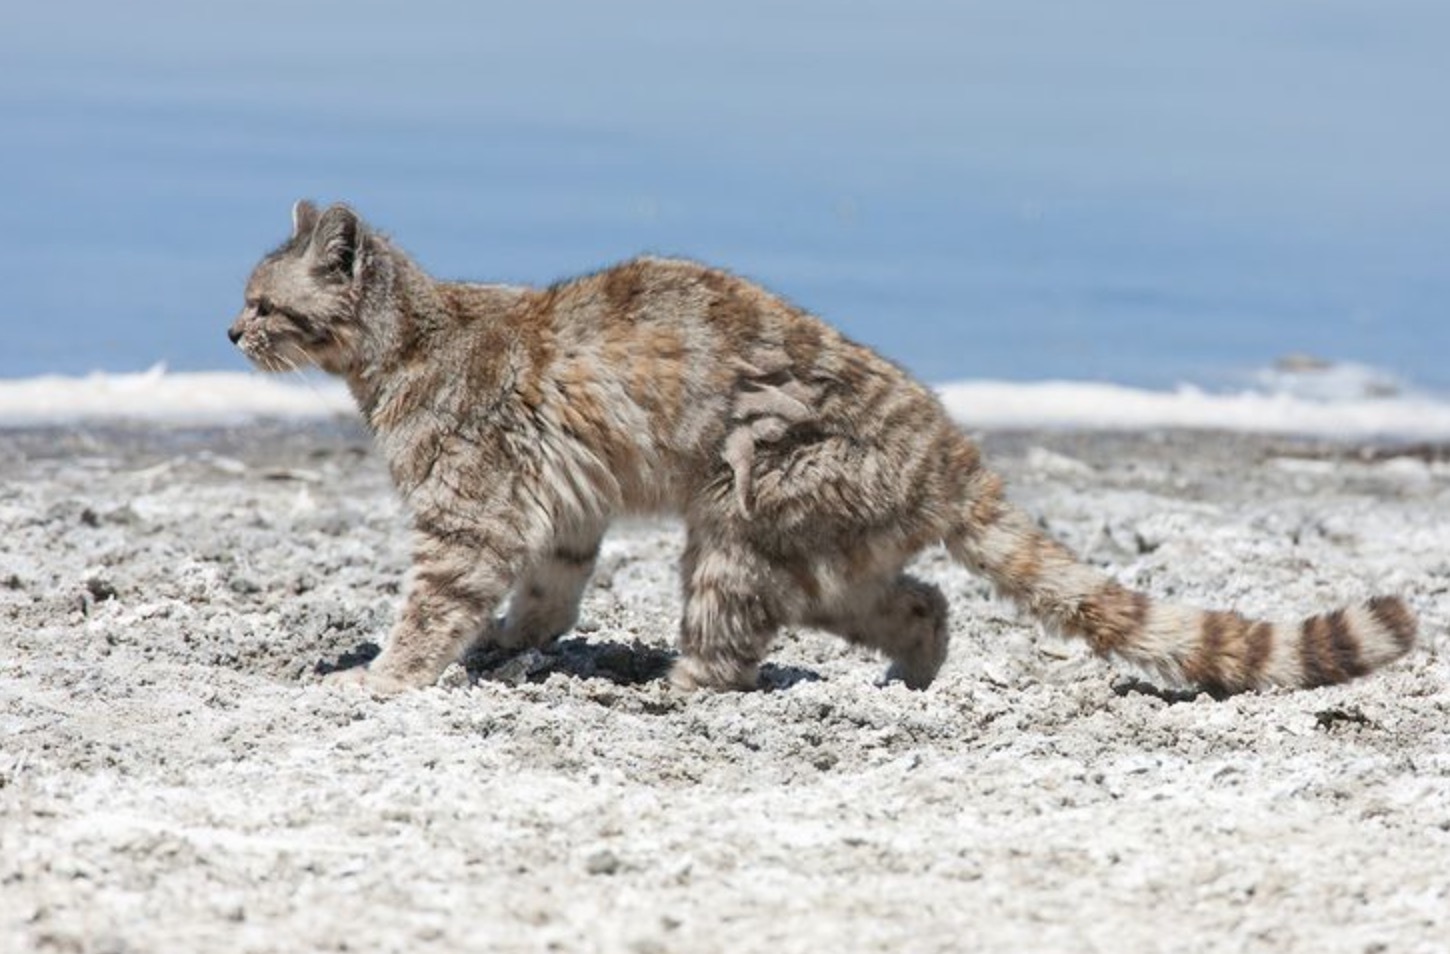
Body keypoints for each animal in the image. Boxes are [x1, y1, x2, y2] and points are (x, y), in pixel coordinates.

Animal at [226, 198, 1415, 690]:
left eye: (265, 304)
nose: (228, 331)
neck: (411, 337)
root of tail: (949, 446)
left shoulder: (471, 506)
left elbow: (436, 602)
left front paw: (389, 678)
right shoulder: (559, 509)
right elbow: (549, 586)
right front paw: (511, 643)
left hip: (748, 512)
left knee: (737, 636)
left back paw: (682, 686)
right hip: (830, 546)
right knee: (917, 598)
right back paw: (914, 670)